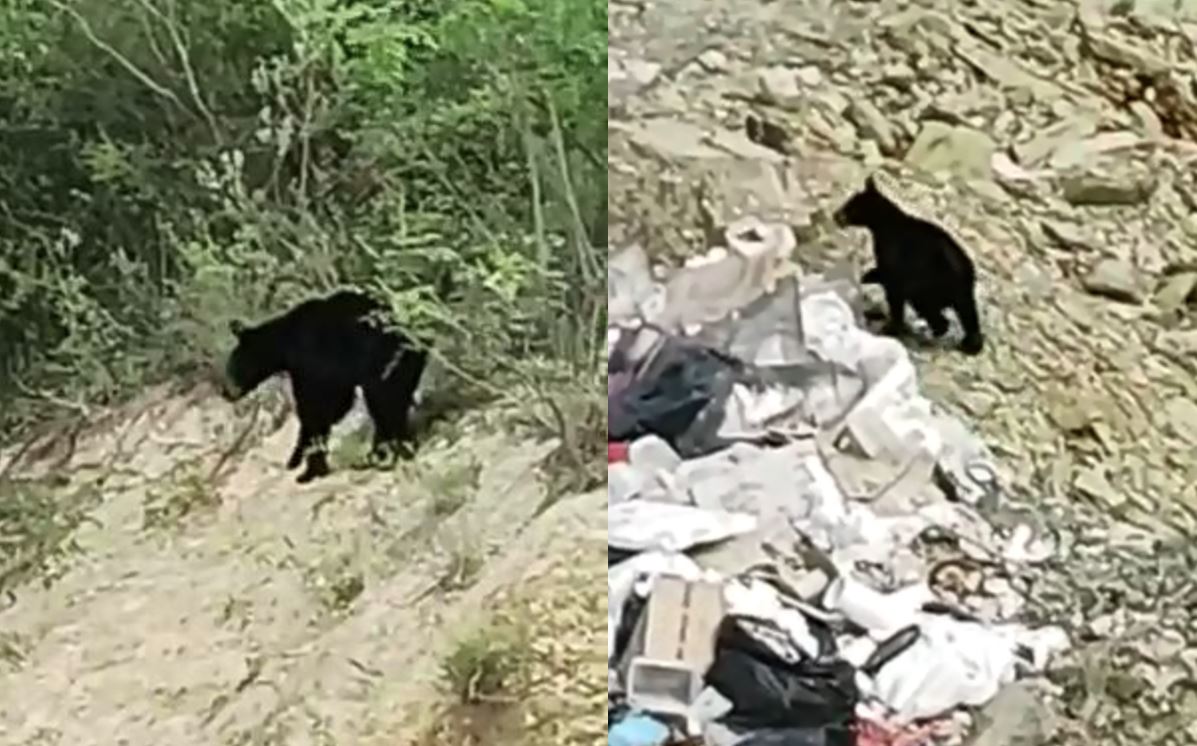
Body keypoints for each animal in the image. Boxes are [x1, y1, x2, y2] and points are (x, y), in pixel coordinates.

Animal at [220, 289, 429, 483]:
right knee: (393, 407)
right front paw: (299, 460)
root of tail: (418, 344)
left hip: (385, 367)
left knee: (386, 406)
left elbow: (316, 409)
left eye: (233, 365)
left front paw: (307, 469)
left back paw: (388, 453)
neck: (287, 343)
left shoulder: (316, 363)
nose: (226, 392)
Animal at [833, 175, 984, 356]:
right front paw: (866, 276)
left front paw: (891, 327)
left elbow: (894, 292)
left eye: (851, 206)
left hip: (928, 286)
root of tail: (967, 279)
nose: (836, 215)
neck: (885, 226)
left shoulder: (897, 261)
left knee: (935, 313)